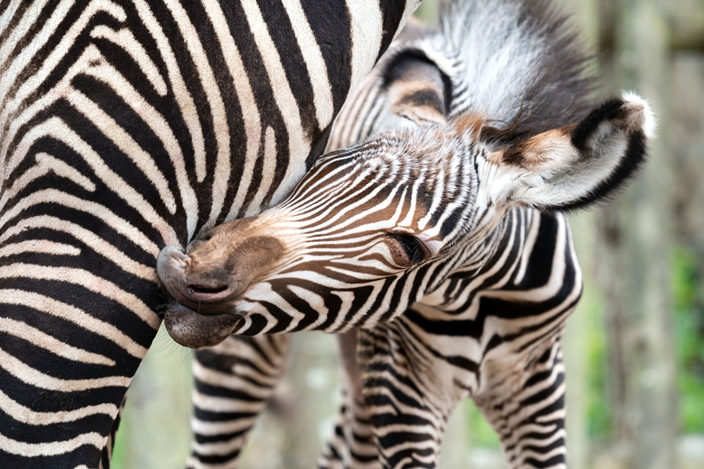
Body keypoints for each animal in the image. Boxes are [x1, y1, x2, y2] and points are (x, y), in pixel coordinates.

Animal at [160, 0, 656, 468]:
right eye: (309, 177)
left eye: (409, 247)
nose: (185, 269)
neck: (479, 298)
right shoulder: (401, 389)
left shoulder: (538, 388)